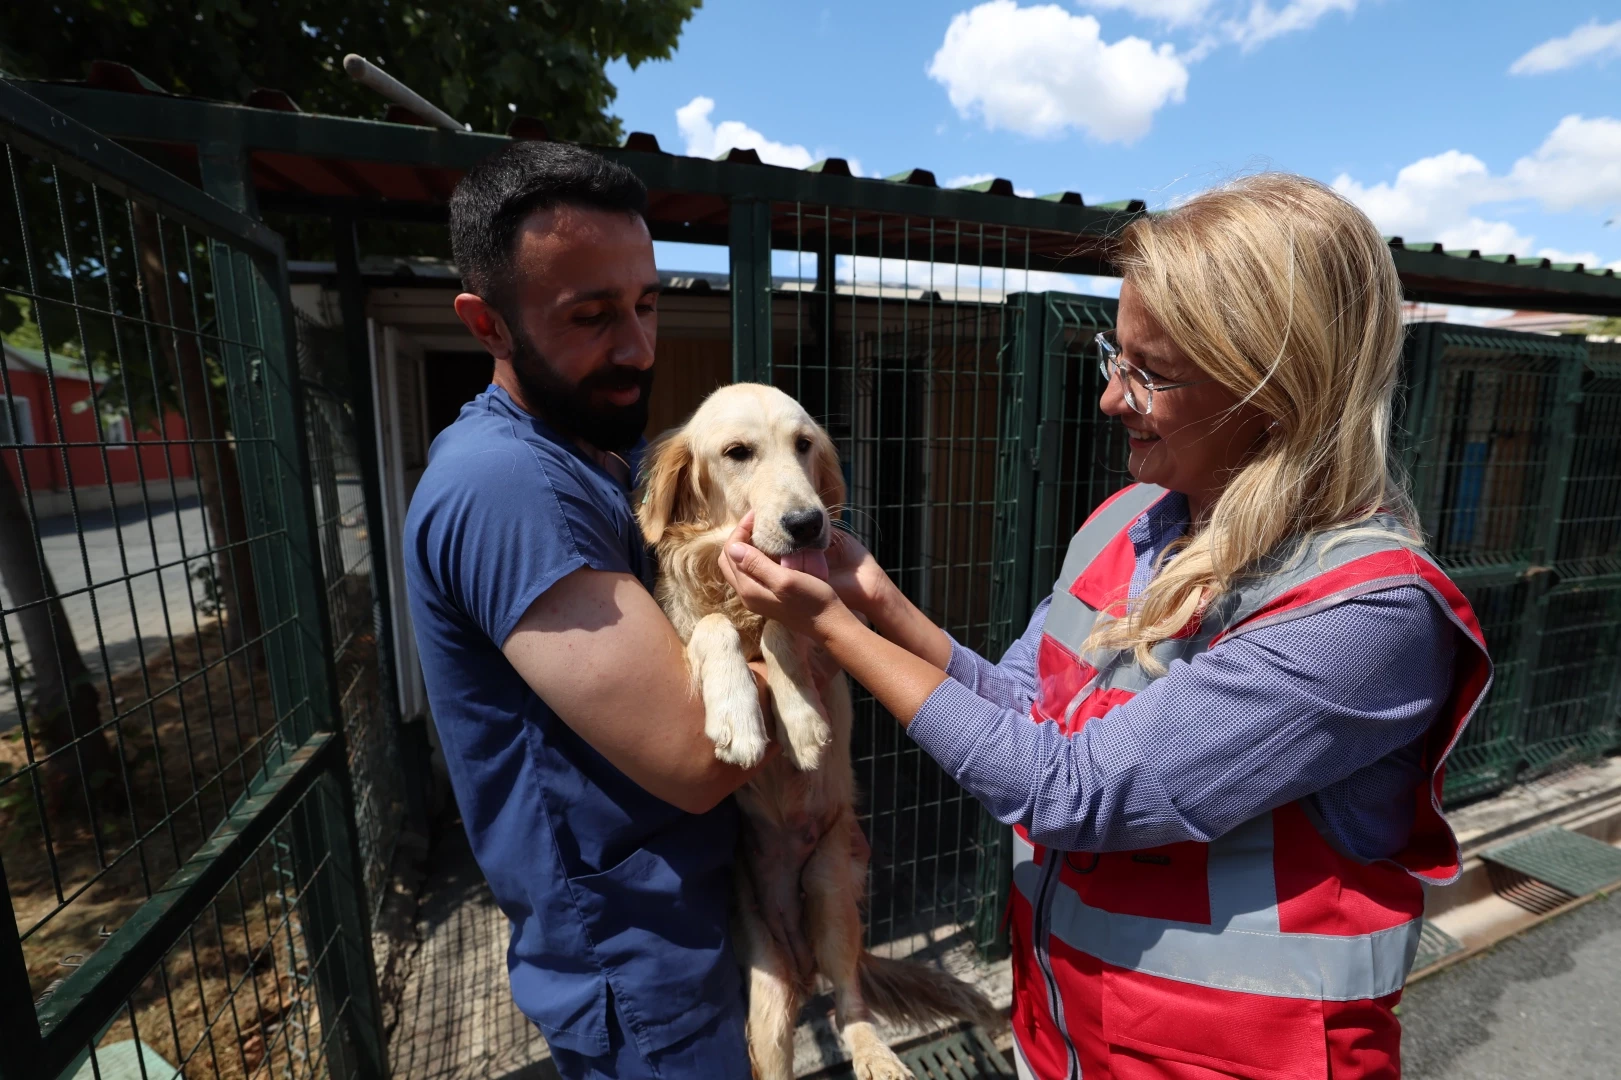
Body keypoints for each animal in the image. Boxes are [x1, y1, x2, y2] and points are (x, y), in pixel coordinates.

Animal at [635, 384, 992, 1076]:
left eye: (804, 445)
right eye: (737, 452)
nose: (806, 523)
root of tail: (801, 958)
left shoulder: (821, 629)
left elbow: (787, 626)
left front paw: (799, 722)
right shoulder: (683, 632)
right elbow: (712, 629)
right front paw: (738, 717)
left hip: (830, 888)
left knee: (850, 1002)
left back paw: (876, 1055)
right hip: (767, 990)